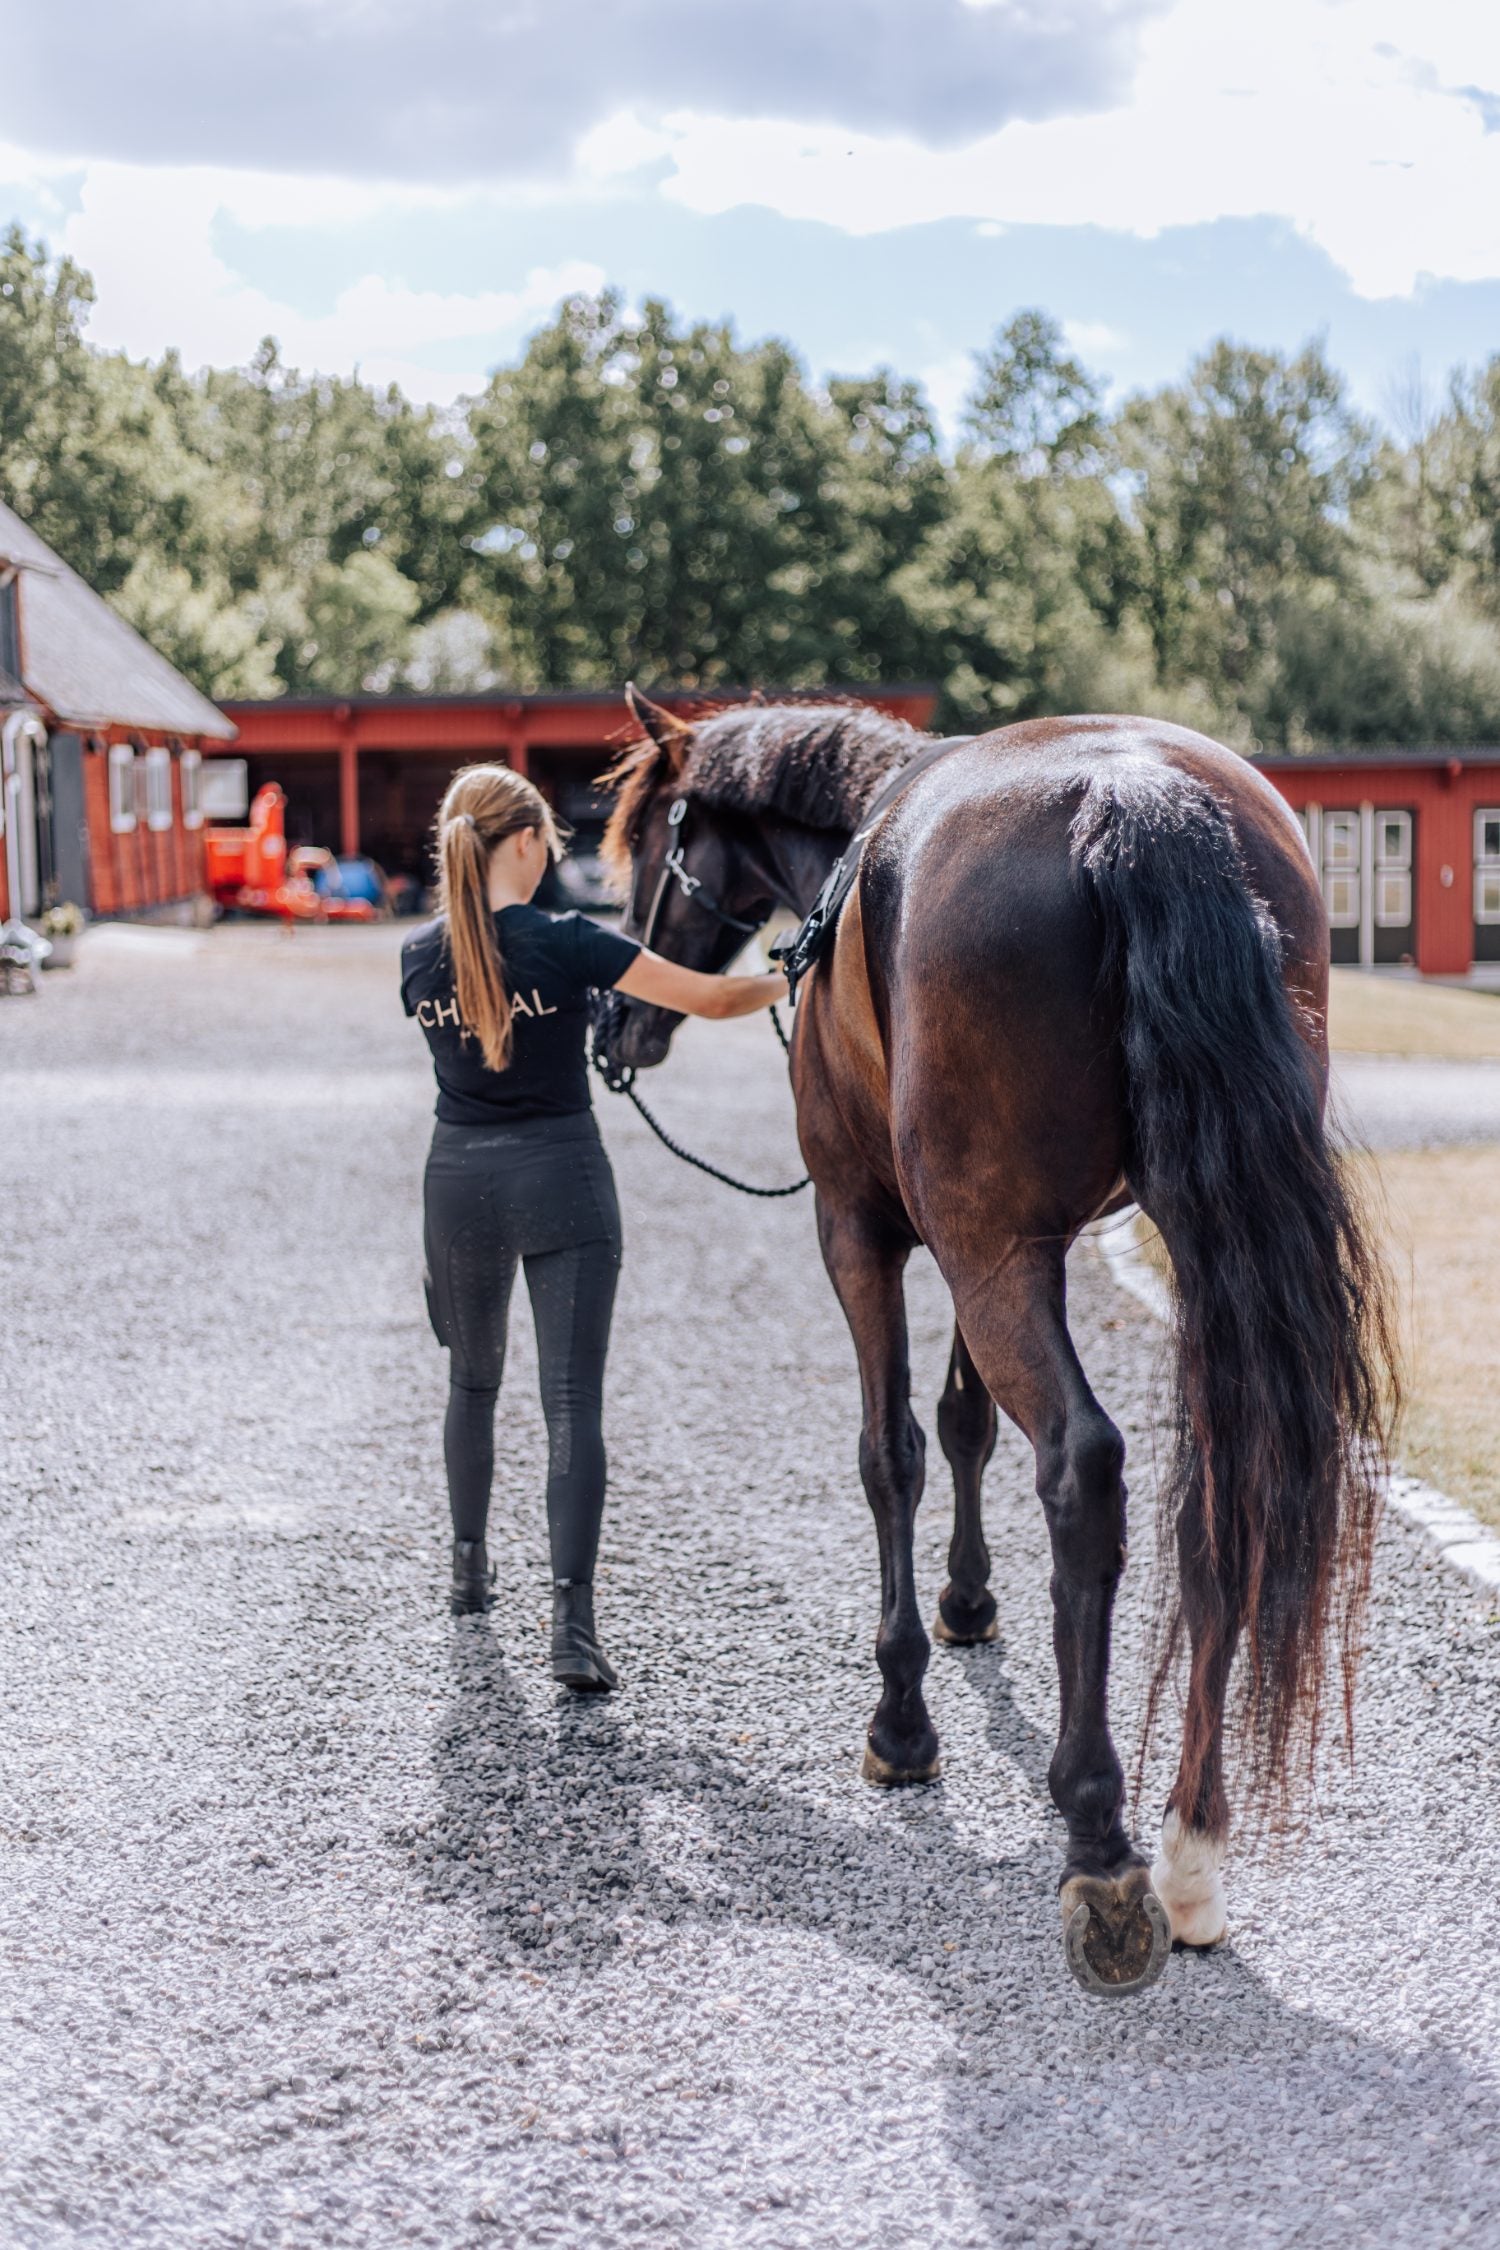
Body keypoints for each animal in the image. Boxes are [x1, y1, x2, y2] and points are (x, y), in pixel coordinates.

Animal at [599, 687, 1396, 1997]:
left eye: (648, 850)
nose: (618, 1017)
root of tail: (1132, 792)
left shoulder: (870, 1230)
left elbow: (894, 1454)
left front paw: (903, 1719)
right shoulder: (1021, 1241)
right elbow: (967, 1421)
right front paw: (970, 1603)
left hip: (982, 1252)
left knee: (1083, 1467)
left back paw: (1102, 1849)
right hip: (1164, 1242)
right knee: (1212, 1499)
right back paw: (1189, 1851)